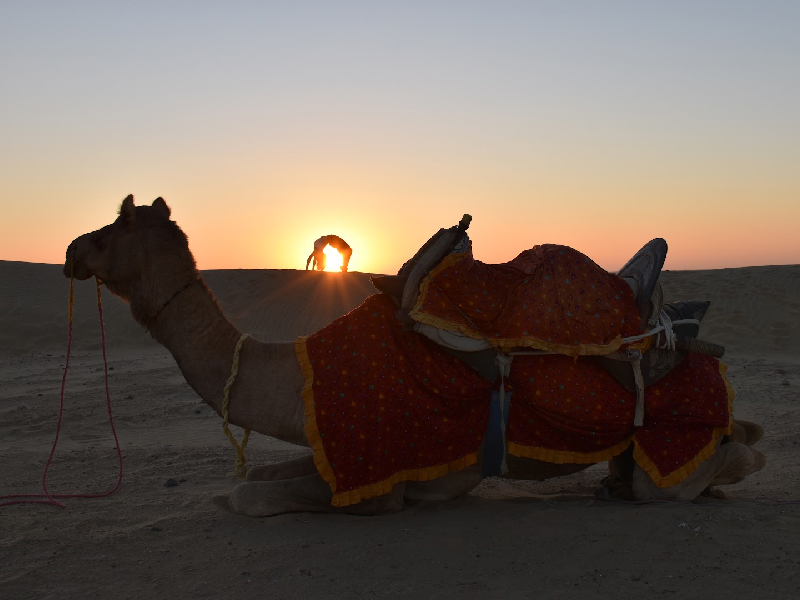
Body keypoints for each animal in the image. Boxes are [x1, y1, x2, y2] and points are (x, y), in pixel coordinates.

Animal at [62, 196, 764, 516]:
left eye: (113, 230)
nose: (70, 250)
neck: (300, 373)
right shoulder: (334, 450)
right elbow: (259, 476)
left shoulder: (378, 481)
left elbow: (244, 496)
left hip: (673, 447)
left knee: (731, 457)